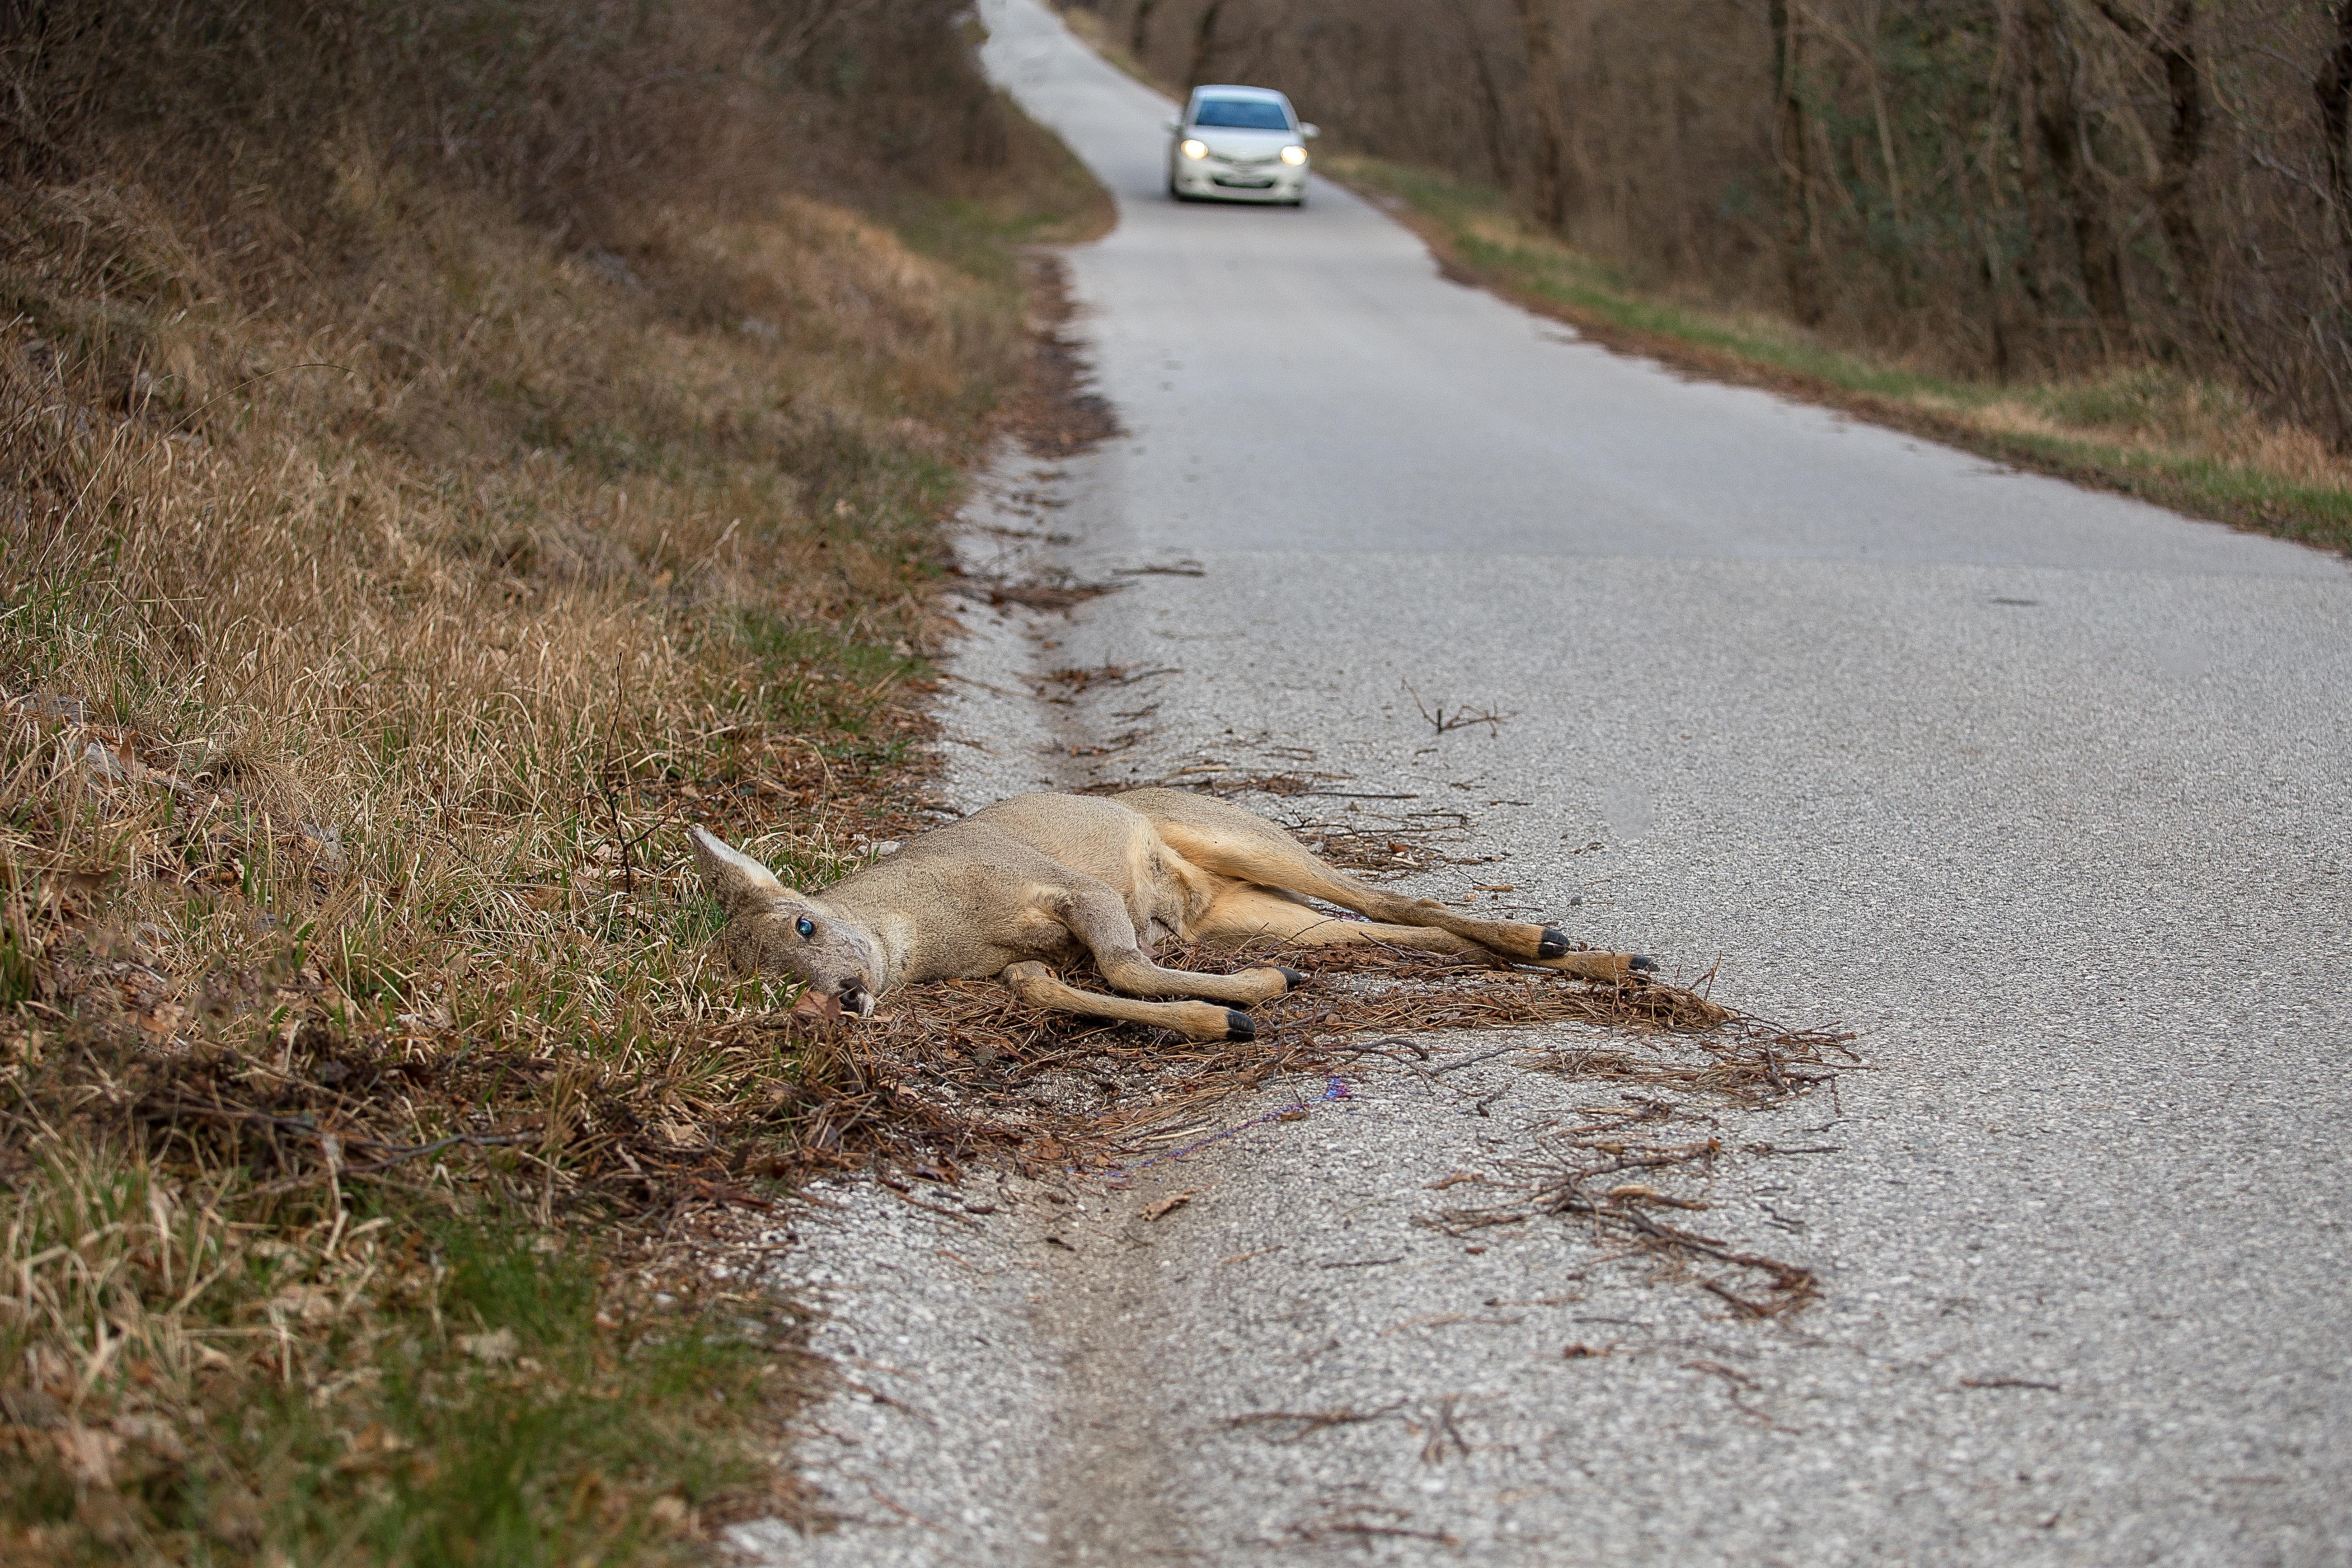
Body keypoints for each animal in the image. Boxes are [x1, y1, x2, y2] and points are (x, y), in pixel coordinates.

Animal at [686, 785, 1656, 1043]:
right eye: (771, 991)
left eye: (805, 925)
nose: (844, 997)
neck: (933, 930)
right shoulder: (1020, 959)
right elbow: (1051, 987)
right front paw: (1229, 1009)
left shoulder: (1068, 887)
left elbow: (1121, 962)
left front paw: (1247, 1003)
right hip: (1251, 910)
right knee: (1393, 929)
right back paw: (1590, 959)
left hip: (1246, 839)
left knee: (1393, 895)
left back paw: (1557, 940)